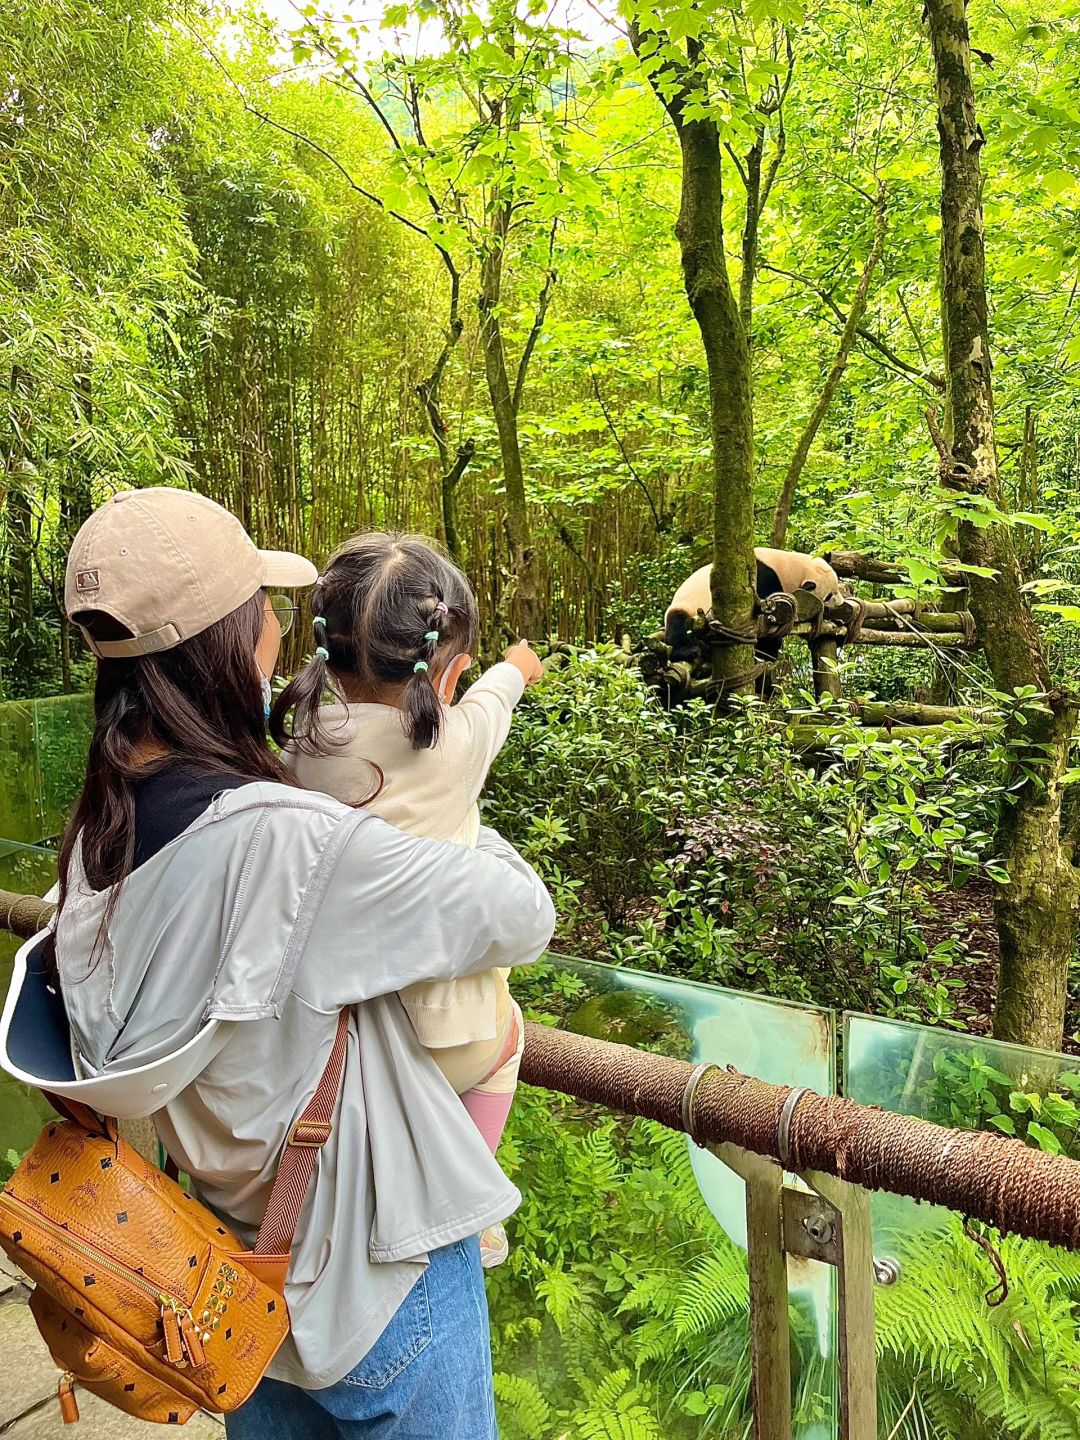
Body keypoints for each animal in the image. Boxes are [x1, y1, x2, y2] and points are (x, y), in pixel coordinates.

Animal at [659, 547, 846, 665]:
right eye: (829, 595)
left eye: (837, 587)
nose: (841, 603)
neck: (789, 568)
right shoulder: (764, 579)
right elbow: (767, 614)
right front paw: (770, 649)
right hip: (689, 608)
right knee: (679, 626)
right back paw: (688, 651)